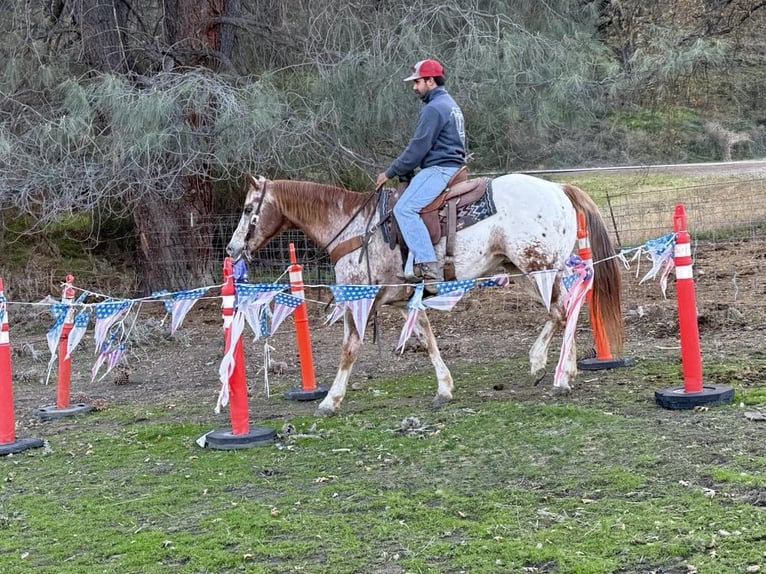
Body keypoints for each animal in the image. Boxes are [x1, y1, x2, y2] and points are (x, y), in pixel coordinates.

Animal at [226, 173, 624, 416]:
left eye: (247, 209)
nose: (232, 249)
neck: (355, 228)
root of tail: (559, 189)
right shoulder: (404, 302)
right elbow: (427, 338)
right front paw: (444, 388)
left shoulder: (360, 300)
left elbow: (349, 349)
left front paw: (330, 400)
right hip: (525, 272)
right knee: (567, 309)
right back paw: (564, 371)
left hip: (537, 268)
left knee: (560, 312)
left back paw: (547, 369)